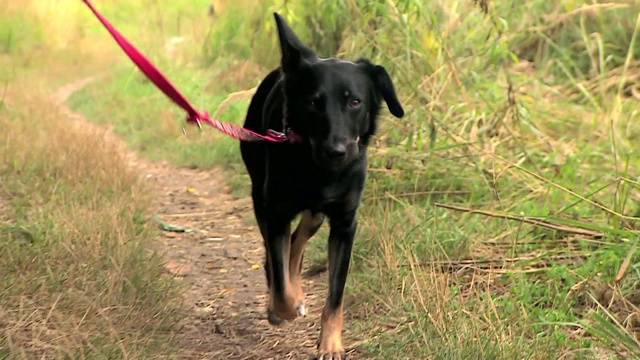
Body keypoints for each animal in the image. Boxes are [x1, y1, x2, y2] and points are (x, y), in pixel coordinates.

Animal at [240, 12, 404, 358]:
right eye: (314, 103)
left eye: (355, 102)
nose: (336, 151)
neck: (320, 172)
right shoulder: (276, 212)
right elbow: (280, 284)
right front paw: (284, 307)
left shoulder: (345, 224)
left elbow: (335, 295)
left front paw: (331, 342)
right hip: (260, 198)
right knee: (278, 255)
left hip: (314, 215)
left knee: (298, 243)